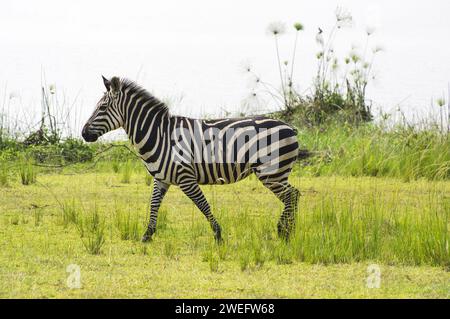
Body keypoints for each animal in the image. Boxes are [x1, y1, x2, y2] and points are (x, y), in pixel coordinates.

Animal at [82, 77, 304, 242]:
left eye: (102, 108)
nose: (83, 133)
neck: (160, 135)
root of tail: (289, 127)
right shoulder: (161, 178)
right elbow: (154, 204)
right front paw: (147, 235)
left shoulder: (185, 177)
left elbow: (203, 205)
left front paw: (218, 235)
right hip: (276, 173)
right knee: (294, 195)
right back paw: (289, 232)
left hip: (271, 172)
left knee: (291, 195)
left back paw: (283, 231)